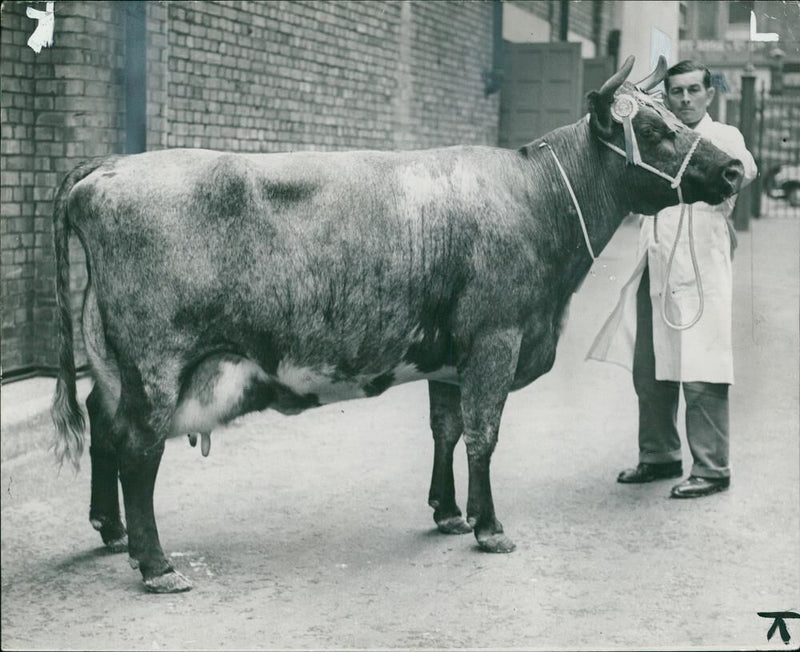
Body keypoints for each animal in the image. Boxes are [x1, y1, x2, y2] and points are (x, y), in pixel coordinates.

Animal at [53, 56, 748, 592]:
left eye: (679, 116)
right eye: (653, 131)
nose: (735, 169)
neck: (536, 198)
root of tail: (108, 167)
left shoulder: (451, 356)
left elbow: (445, 430)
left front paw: (449, 513)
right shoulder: (495, 340)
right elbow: (483, 435)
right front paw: (490, 528)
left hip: (111, 360)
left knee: (102, 423)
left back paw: (111, 531)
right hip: (156, 364)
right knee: (138, 449)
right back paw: (156, 565)